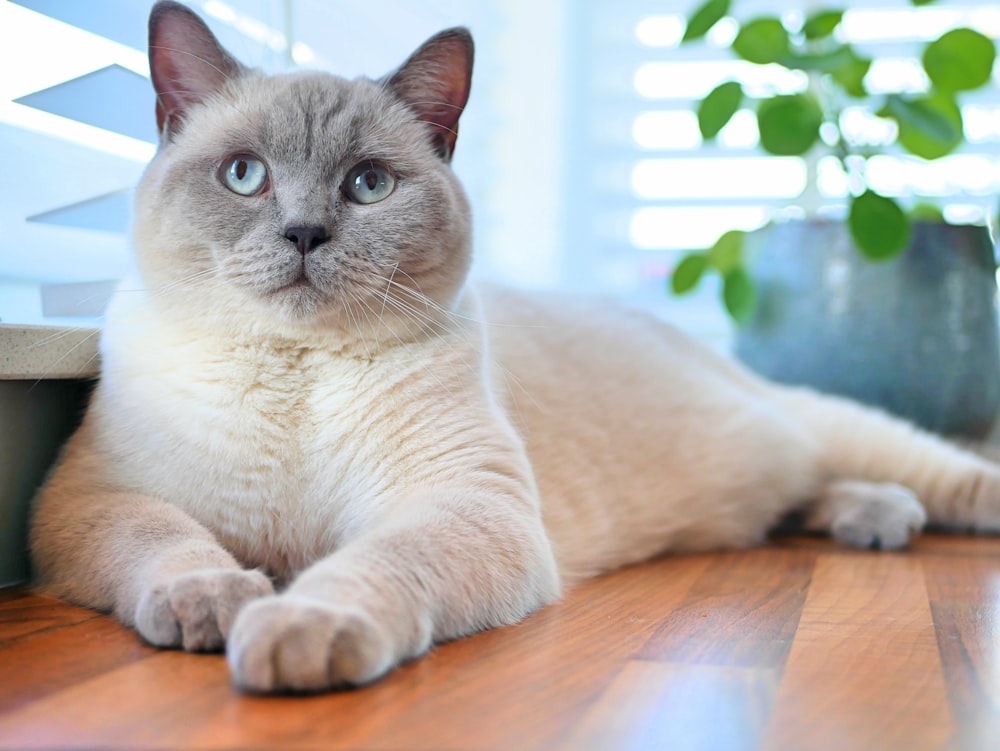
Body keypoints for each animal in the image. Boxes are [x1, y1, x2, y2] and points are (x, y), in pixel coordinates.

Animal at [27, 0, 1000, 696]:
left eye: (368, 185)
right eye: (244, 175)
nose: (304, 233)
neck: (295, 375)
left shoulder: (465, 502)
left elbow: (362, 568)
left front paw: (293, 630)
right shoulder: (93, 496)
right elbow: (174, 541)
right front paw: (222, 604)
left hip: (830, 425)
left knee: (932, 474)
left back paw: (898, 511)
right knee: (794, 503)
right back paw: (875, 516)